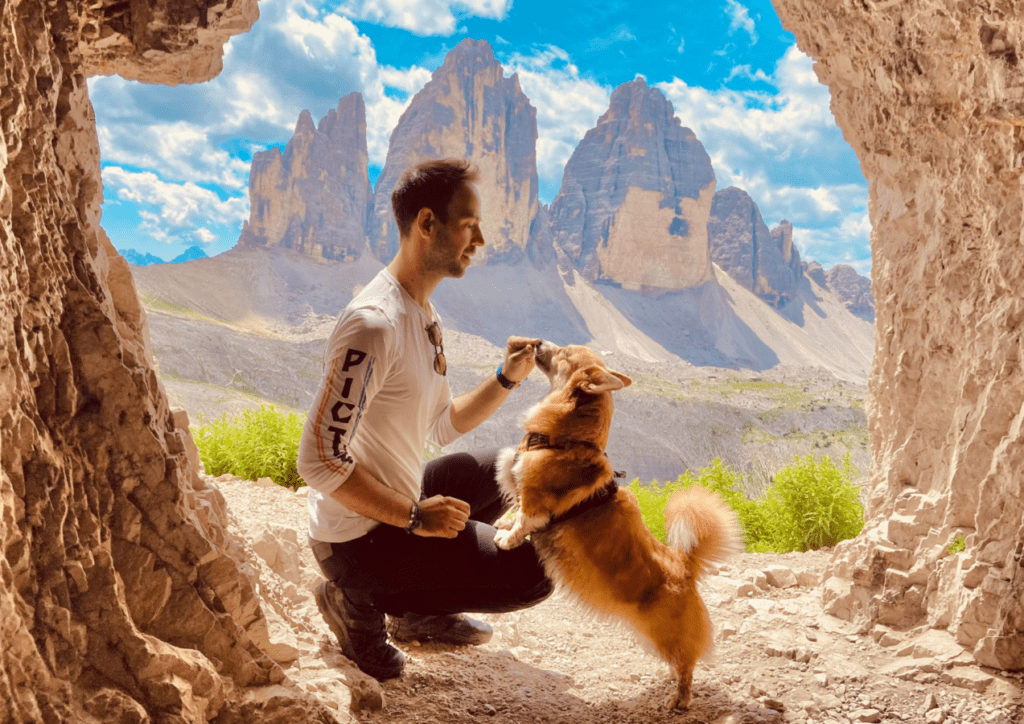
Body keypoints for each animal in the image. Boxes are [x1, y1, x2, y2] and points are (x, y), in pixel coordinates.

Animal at [491, 342, 741, 712]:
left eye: (563, 353)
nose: (536, 343)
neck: (565, 438)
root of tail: (685, 566)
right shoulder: (522, 491)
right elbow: (514, 506)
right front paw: (501, 523)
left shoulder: (537, 501)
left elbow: (524, 518)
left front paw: (506, 539)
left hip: (664, 635)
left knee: (686, 665)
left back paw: (678, 698)